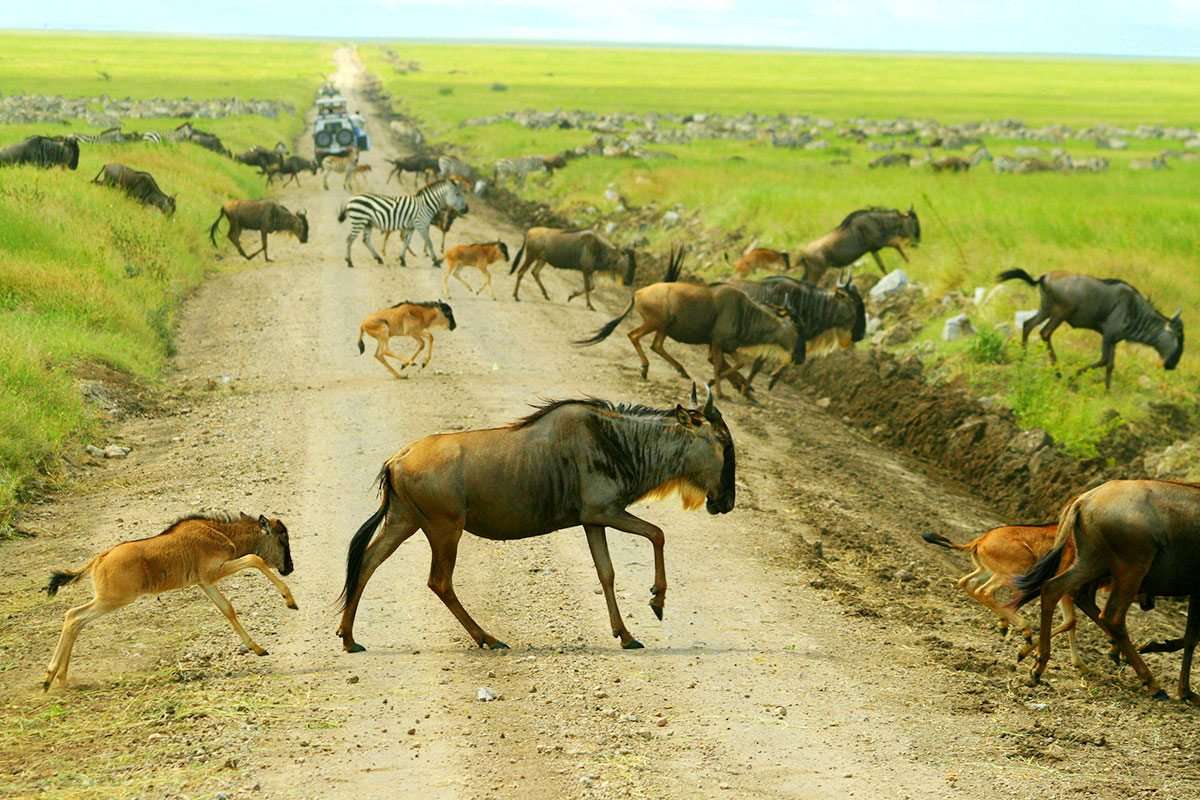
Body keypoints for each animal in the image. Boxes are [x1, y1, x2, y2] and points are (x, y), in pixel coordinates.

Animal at [43, 515, 296, 690]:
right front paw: (290, 601)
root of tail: (99, 559)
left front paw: (258, 648)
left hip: (108, 600)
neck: (220, 532)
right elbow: (254, 559)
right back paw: (50, 677)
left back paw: (60, 679)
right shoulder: (214, 573)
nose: (290, 568)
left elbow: (228, 610)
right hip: (113, 599)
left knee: (76, 621)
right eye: (282, 539)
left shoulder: (205, 582)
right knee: (73, 616)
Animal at [333, 388, 734, 657]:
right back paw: (488, 638)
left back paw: (349, 638)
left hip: (405, 522)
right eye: (722, 441)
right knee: (439, 581)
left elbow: (606, 572)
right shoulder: (605, 512)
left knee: (367, 563)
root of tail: (396, 459)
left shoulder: (593, 521)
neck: (619, 442)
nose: (726, 503)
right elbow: (657, 534)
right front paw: (657, 602)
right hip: (445, 528)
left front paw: (626, 634)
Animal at [340, 178, 470, 268]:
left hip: (368, 223)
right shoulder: (421, 225)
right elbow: (429, 242)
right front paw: (436, 261)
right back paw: (349, 262)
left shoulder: (411, 227)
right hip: (359, 220)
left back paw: (378, 258)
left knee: (365, 240)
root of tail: (351, 198)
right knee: (349, 239)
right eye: (458, 194)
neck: (426, 205)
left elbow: (407, 242)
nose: (467, 209)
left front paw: (402, 260)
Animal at [1017, 482, 1200, 700]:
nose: (1148, 603)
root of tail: (1084, 500)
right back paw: (1152, 684)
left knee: (1056, 589)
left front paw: (1186, 691)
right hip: (1130, 569)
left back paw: (1038, 667)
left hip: (1092, 562)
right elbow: (1192, 638)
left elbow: (1190, 638)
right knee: (1111, 617)